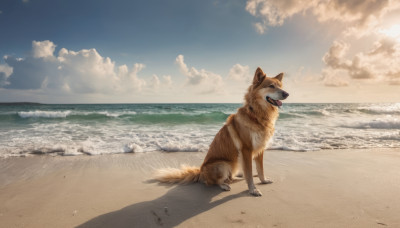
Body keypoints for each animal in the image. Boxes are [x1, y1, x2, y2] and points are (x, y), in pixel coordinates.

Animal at [155, 67, 290, 196]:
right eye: (271, 86)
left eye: (280, 86)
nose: (287, 94)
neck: (256, 114)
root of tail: (201, 172)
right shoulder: (246, 149)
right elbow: (249, 173)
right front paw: (253, 189)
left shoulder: (260, 149)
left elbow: (260, 169)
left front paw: (263, 180)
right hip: (223, 165)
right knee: (215, 182)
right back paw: (224, 185)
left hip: (234, 163)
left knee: (232, 177)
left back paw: (238, 177)